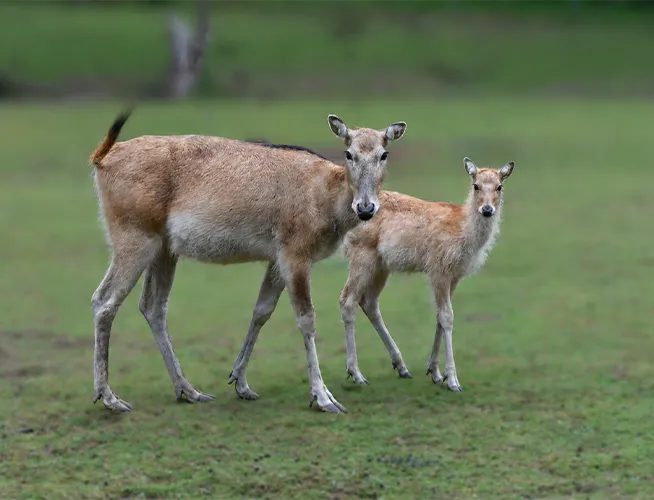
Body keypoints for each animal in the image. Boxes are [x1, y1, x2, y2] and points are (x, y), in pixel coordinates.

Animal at [88, 109, 407, 414]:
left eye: (384, 153)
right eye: (349, 153)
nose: (365, 208)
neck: (326, 197)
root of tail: (102, 157)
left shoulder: (276, 260)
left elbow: (261, 311)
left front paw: (240, 382)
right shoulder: (296, 254)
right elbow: (307, 318)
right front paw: (324, 398)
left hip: (164, 249)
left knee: (153, 307)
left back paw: (190, 391)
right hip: (134, 239)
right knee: (103, 300)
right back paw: (109, 398)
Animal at [339, 157, 515, 391]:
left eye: (499, 186)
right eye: (476, 185)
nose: (487, 209)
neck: (463, 232)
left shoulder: (454, 274)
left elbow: (440, 316)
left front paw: (436, 373)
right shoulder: (438, 268)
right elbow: (447, 316)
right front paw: (453, 381)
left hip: (381, 264)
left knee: (369, 302)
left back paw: (402, 367)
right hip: (362, 255)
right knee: (347, 300)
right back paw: (357, 374)